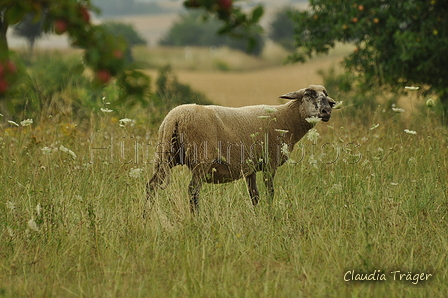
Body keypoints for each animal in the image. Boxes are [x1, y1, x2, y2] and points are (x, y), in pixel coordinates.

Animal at [145, 85, 334, 213]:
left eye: (326, 96)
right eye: (308, 95)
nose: (327, 111)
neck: (286, 120)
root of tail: (174, 118)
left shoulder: (250, 168)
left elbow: (254, 196)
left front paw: (257, 216)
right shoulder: (269, 163)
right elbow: (270, 192)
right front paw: (271, 215)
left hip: (166, 155)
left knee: (151, 186)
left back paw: (147, 217)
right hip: (201, 160)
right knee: (192, 191)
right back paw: (196, 220)